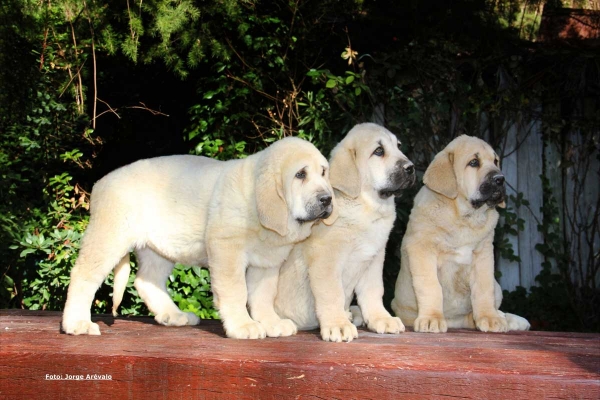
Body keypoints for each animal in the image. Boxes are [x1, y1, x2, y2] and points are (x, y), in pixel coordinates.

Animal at [61, 137, 338, 338]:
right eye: (300, 175)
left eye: (324, 172)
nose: (327, 199)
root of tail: (100, 184)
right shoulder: (226, 251)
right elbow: (236, 291)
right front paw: (242, 326)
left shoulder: (266, 262)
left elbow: (263, 296)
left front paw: (271, 322)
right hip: (109, 237)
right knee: (83, 275)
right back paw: (77, 323)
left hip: (159, 248)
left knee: (146, 281)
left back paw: (173, 316)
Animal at [274, 123, 414, 342]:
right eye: (379, 151)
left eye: (398, 146)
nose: (411, 167)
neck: (365, 208)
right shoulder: (326, 262)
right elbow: (333, 295)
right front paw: (338, 325)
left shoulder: (373, 260)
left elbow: (374, 292)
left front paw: (381, 318)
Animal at [394, 136, 528, 332]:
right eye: (474, 162)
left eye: (495, 161)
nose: (500, 179)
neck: (464, 218)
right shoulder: (422, 250)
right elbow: (430, 286)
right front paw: (431, 318)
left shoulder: (483, 254)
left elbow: (483, 288)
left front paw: (489, 318)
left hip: (497, 287)